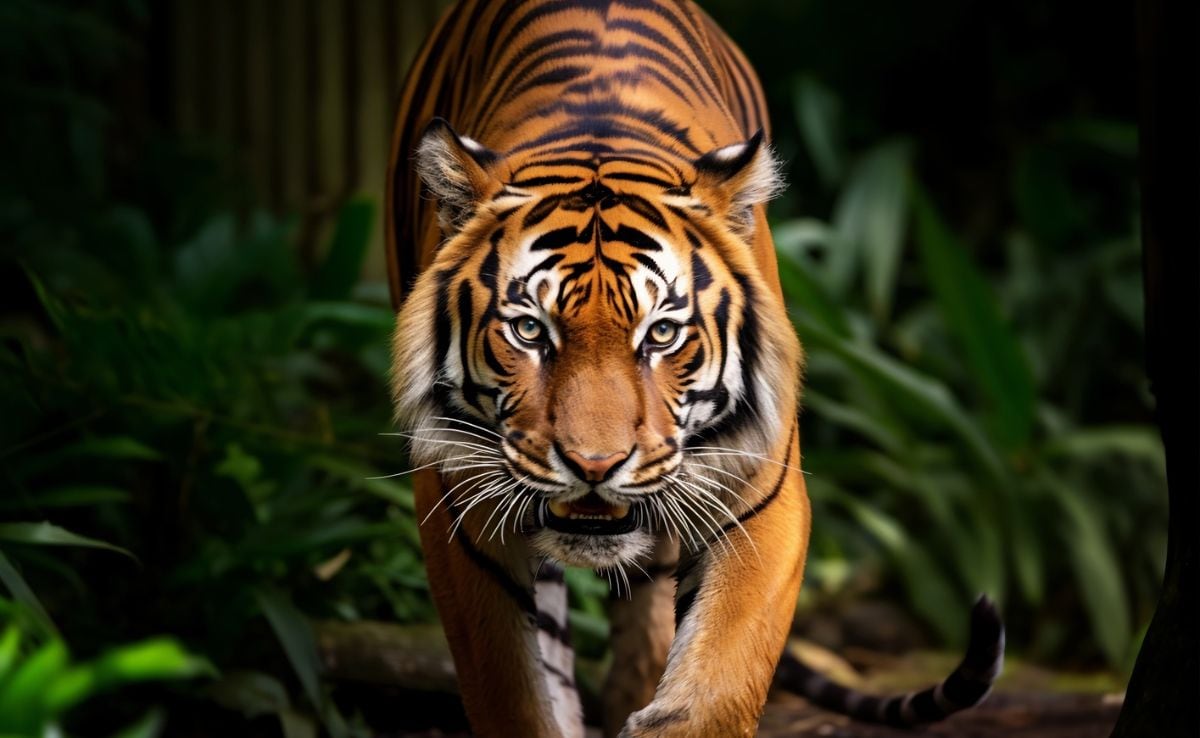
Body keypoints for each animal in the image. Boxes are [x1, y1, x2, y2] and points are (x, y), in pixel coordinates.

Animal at [385, 1, 1004, 736]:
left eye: (662, 334)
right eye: (530, 330)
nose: (594, 466)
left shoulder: (762, 497)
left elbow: (717, 684)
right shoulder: (458, 511)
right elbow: (513, 695)